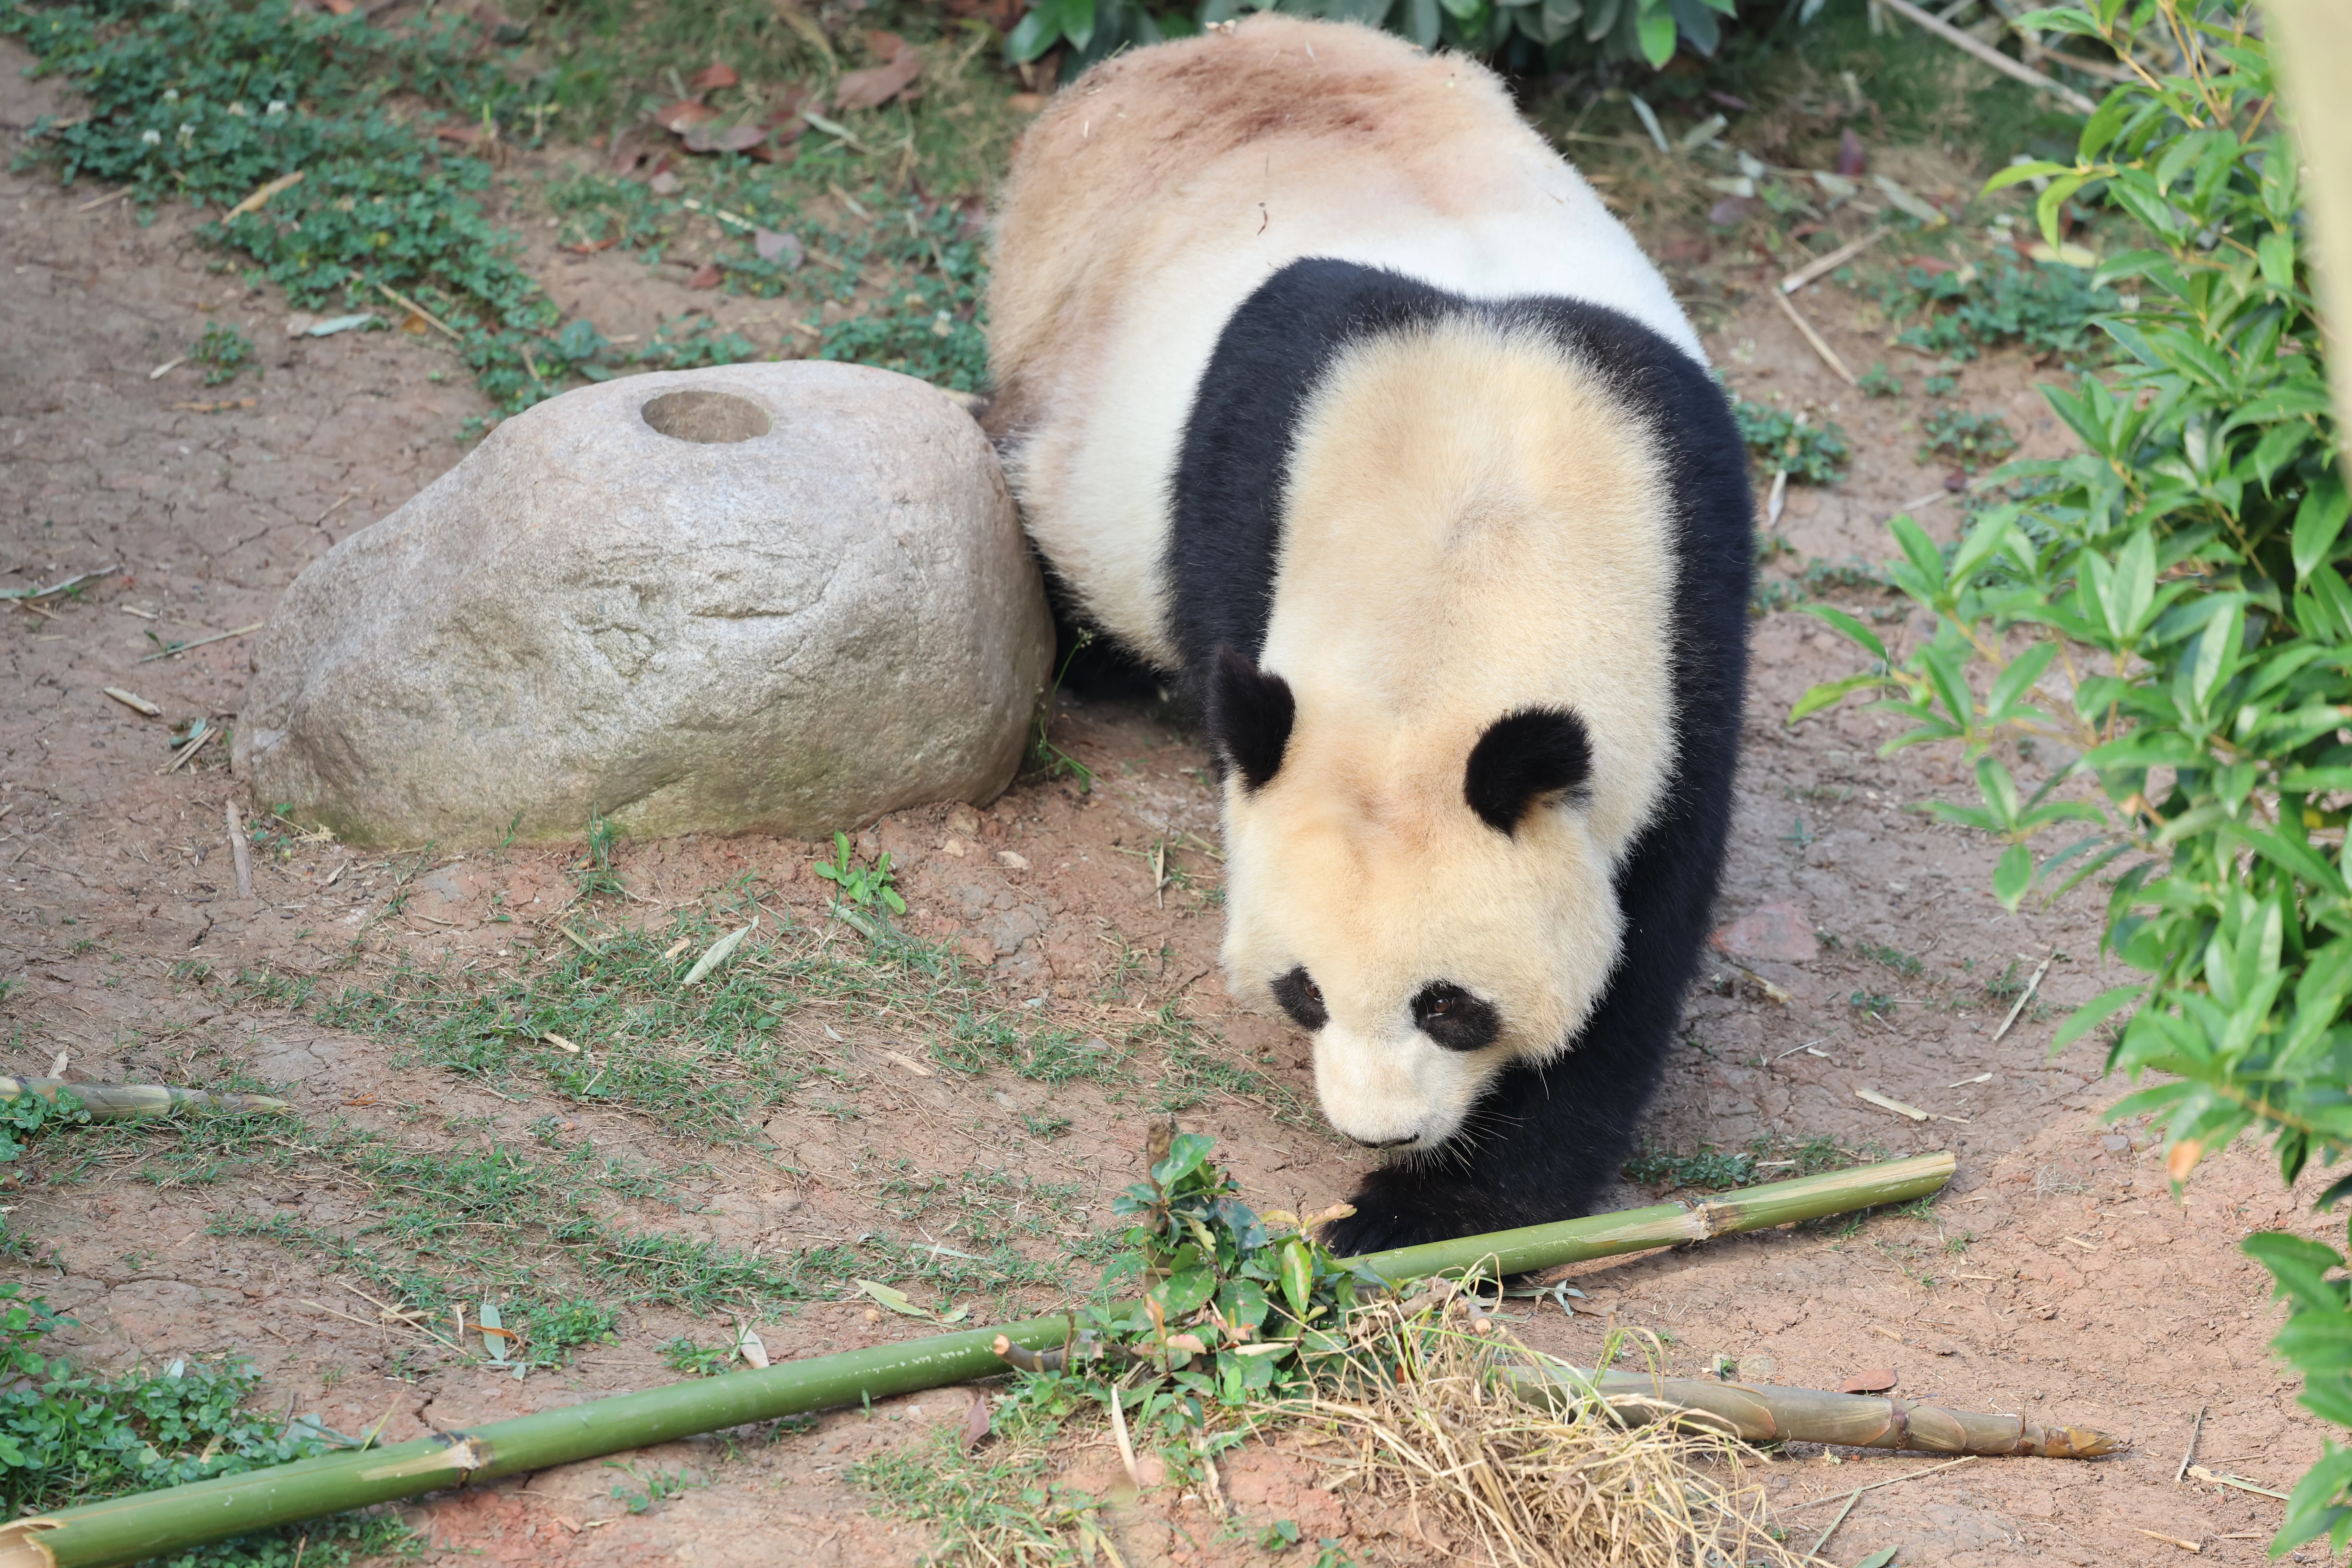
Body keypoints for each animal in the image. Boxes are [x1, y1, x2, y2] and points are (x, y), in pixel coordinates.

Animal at [984, 15, 1752, 1253]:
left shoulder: (1691, 590)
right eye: (1304, 990)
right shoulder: (1249, 534)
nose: (1376, 1130)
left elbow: (1642, 933)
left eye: (1450, 1006)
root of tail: (1189, 46)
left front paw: (1436, 1211)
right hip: (1064, 377)